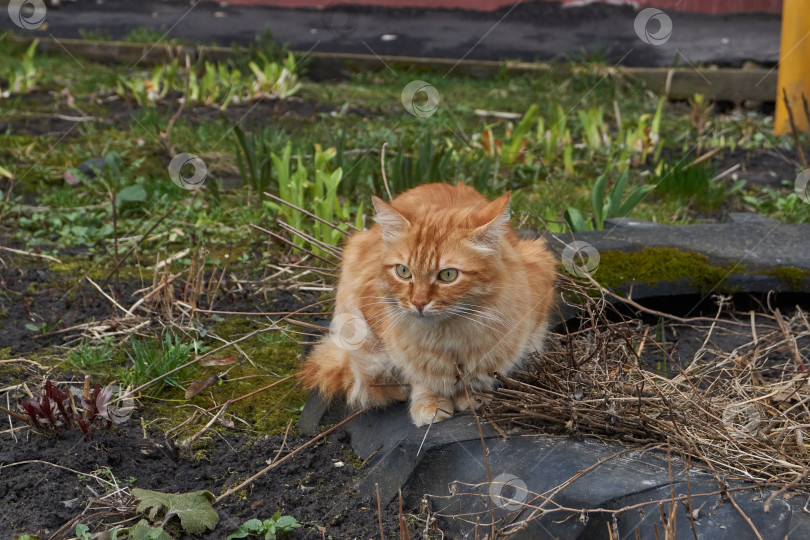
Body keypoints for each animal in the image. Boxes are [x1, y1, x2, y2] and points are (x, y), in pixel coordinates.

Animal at [296, 182, 556, 426]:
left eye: (448, 275)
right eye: (403, 272)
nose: (418, 302)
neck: (450, 336)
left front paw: (472, 394)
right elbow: (420, 376)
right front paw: (430, 401)